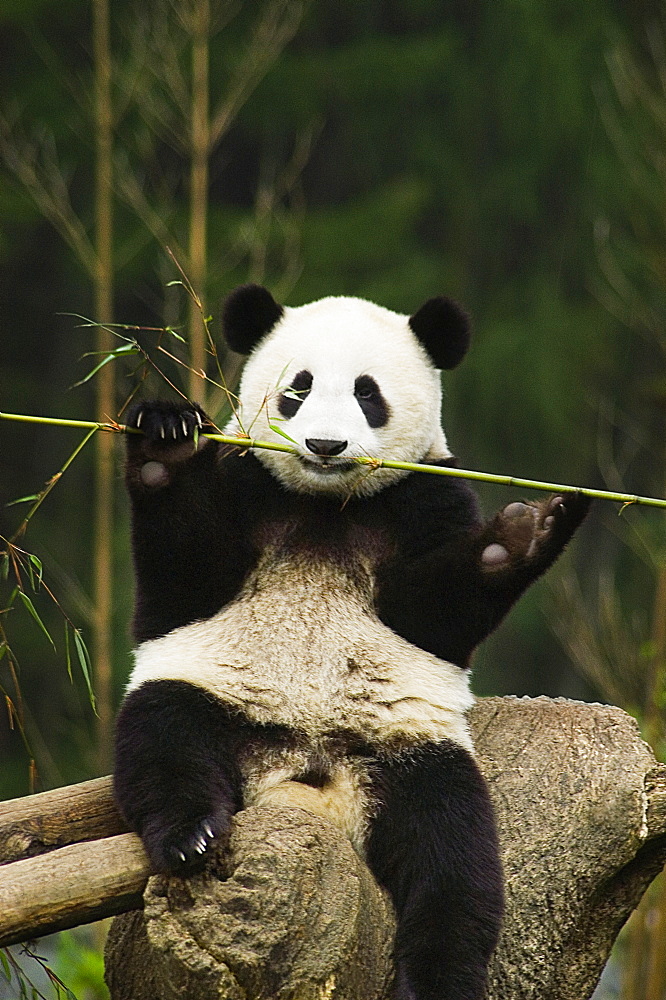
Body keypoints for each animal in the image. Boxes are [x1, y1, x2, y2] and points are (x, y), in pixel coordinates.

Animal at [114, 284, 588, 1000]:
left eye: (369, 393)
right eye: (298, 388)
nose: (325, 444)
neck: (327, 504)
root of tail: (308, 779)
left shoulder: (428, 496)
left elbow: (435, 616)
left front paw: (523, 534)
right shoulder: (243, 481)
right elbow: (183, 586)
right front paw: (164, 443)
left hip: (408, 755)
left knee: (453, 857)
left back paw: (441, 974)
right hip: (211, 696)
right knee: (165, 741)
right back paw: (192, 836)